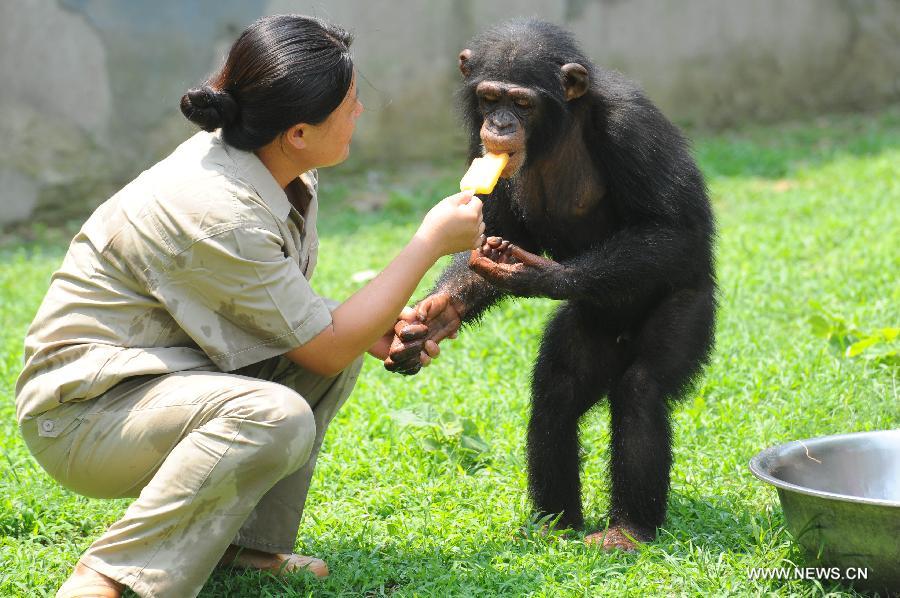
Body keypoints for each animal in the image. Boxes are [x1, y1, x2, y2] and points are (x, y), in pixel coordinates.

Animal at [384, 18, 712, 552]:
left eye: (522, 103)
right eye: (489, 98)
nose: (498, 125)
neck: (560, 130)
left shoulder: (633, 126)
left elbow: (674, 229)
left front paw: (539, 274)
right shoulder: (479, 150)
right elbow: (494, 225)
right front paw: (430, 320)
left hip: (691, 309)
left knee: (640, 388)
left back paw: (627, 530)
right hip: (590, 331)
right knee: (556, 390)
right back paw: (556, 524)